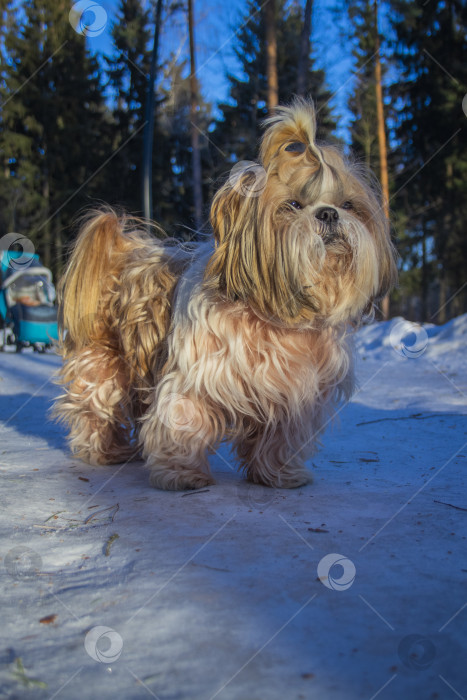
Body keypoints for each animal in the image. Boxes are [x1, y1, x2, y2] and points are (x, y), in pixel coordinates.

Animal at [54, 98, 398, 490]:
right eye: (293, 206)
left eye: (349, 205)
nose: (328, 214)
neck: (278, 315)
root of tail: (122, 251)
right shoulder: (193, 377)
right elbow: (182, 420)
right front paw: (183, 473)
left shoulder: (296, 394)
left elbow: (280, 438)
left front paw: (278, 473)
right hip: (103, 361)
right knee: (95, 407)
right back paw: (105, 451)